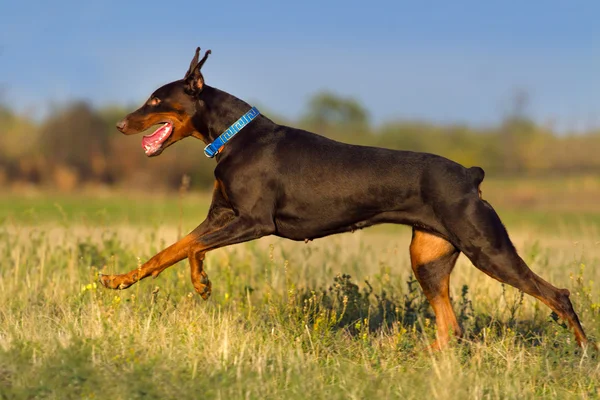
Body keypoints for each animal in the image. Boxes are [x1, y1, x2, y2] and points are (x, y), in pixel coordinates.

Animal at [102, 45, 584, 348]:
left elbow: (190, 247)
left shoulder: (254, 221)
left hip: (488, 249)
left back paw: (583, 354)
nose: (120, 124)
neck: (235, 137)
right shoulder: (222, 215)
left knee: (556, 294)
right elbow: (175, 248)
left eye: (155, 99)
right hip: (428, 258)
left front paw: (198, 282)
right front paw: (124, 279)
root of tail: (471, 175)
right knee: (450, 328)